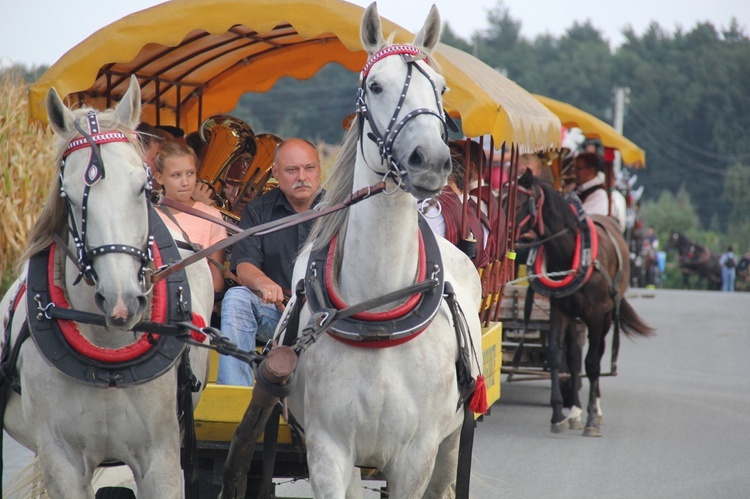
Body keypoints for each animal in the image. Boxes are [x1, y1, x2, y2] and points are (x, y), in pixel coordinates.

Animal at [284, 2, 484, 496]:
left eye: (442, 88)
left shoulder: (417, 455)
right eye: (375, 85)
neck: (378, 308)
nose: (431, 161)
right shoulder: (329, 448)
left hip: (452, 441)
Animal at [512, 171, 652, 438]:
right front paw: (559, 415)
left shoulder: (596, 315)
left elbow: (593, 363)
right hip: (575, 317)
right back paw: (575, 411)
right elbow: (557, 357)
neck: (571, 253)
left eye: (520, 200)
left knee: (596, 356)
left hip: (605, 317)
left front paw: (592, 421)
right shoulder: (560, 311)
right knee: (574, 358)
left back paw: (594, 408)